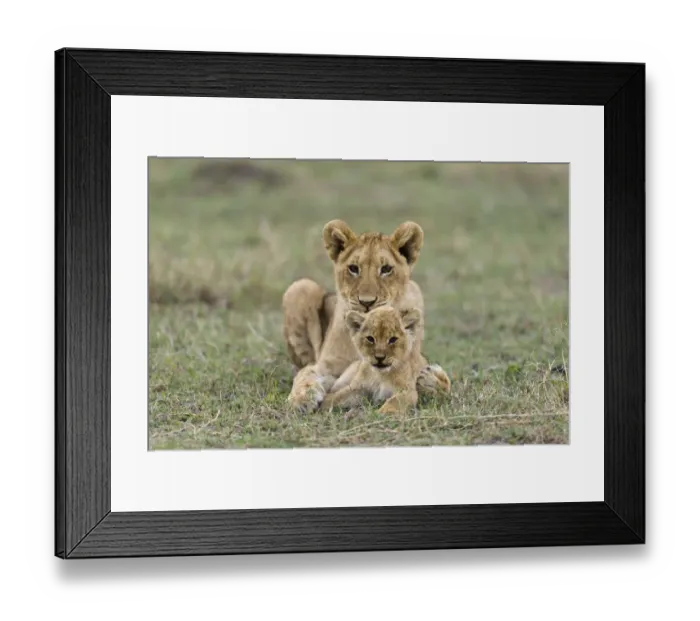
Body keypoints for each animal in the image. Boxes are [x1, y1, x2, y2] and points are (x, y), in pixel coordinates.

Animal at [283, 219, 451, 413]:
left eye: (386, 269)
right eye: (353, 268)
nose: (366, 302)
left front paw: (431, 381)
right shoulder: (328, 367)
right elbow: (306, 374)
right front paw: (301, 399)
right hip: (300, 287)